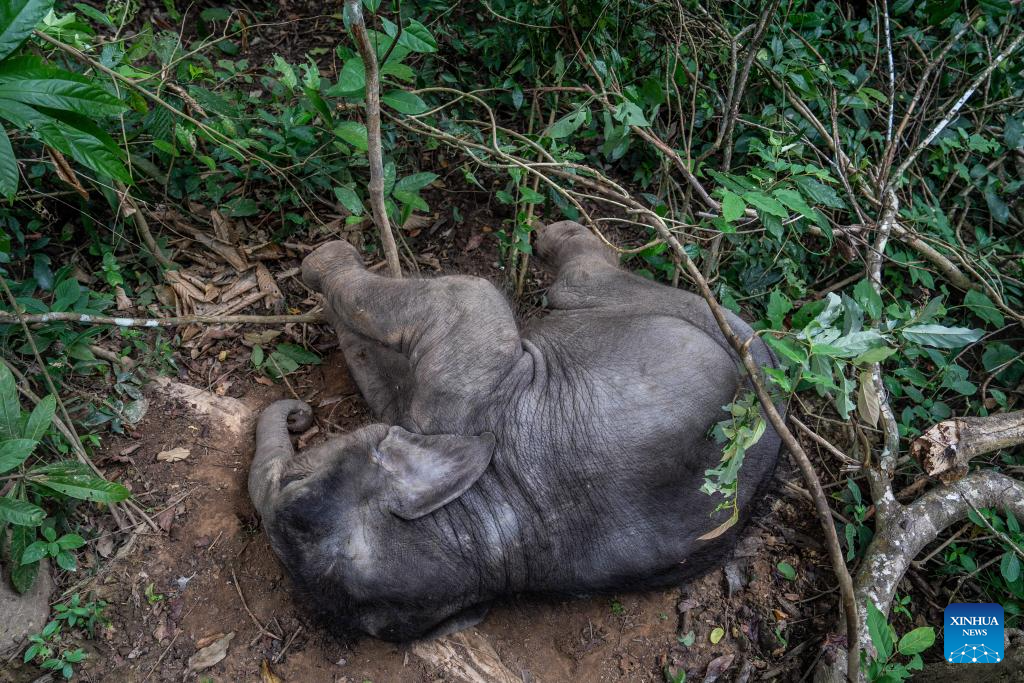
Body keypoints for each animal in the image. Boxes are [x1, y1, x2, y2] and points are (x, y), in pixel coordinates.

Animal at [251, 222, 778, 643]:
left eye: (296, 487)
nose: (299, 414)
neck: (479, 525)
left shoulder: (465, 392)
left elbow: (465, 295)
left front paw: (324, 260)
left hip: (681, 312)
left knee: (580, 283)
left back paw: (555, 236)